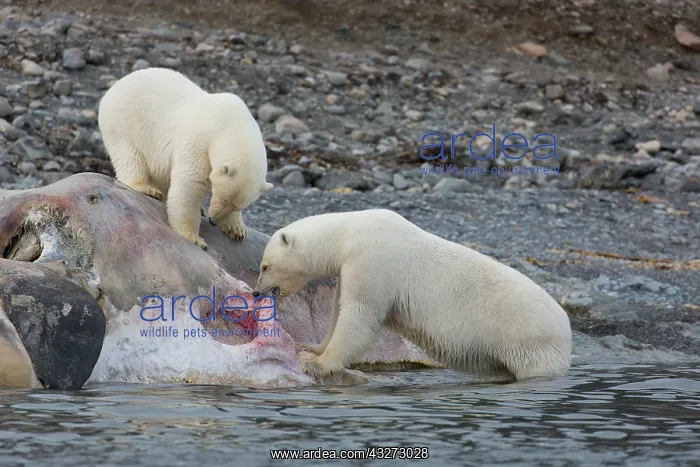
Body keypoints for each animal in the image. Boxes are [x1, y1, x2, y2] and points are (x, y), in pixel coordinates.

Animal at [97, 67, 273, 250]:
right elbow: (190, 183)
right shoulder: (199, 140)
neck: (231, 124)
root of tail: (113, 88)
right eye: (223, 198)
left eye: (236, 205)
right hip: (123, 123)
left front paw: (237, 229)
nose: (213, 220)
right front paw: (194, 238)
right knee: (129, 156)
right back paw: (147, 189)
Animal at [251, 209, 573, 382]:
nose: (256, 291)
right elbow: (338, 311)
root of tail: (566, 326)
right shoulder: (349, 268)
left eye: (264, 266)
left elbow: (359, 316)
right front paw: (313, 347)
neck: (349, 233)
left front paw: (315, 363)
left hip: (530, 343)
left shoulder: (373, 261)